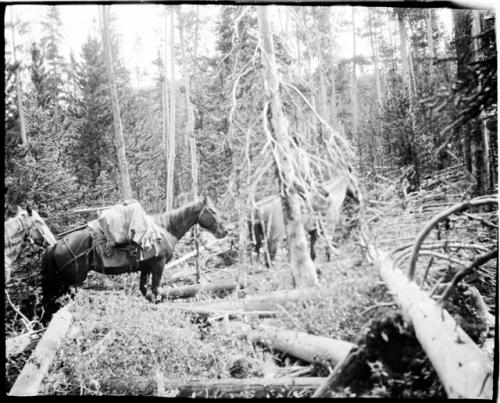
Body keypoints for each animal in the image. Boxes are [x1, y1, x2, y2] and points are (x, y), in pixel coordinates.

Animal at [42, 197, 227, 320]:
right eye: (212, 211)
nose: (224, 231)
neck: (165, 230)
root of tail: (57, 245)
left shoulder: (146, 268)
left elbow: (145, 290)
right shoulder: (158, 266)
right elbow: (155, 290)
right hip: (73, 283)